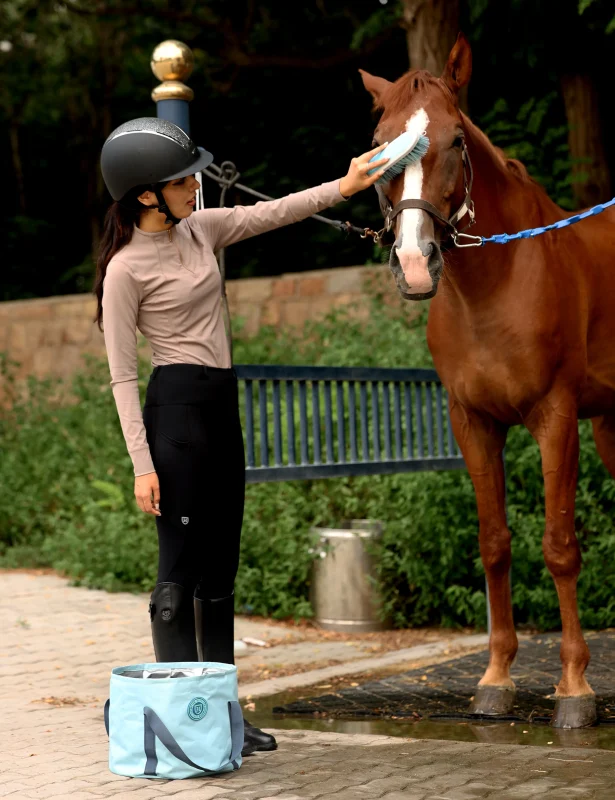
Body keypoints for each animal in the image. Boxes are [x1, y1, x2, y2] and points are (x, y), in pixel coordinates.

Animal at [359, 32, 615, 728]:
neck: (495, 287)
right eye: (379, 143)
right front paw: (496, 677)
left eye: (454, 141)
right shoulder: (472, 422)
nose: (414, 263)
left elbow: (559, 545)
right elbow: (494, 543)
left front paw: (574, 688)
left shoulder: (555, 418)